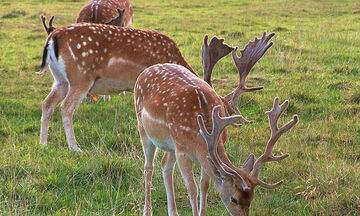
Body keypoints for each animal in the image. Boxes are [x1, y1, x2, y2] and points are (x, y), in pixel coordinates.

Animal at [38, 22, 197, 152]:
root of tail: (52, 37)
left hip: (60, 79)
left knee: (47, 103)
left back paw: (43, 144)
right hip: (81, 76)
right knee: (66, 107)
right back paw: (74, 148)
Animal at [134, 32, 300, 216]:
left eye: (251, 199)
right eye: (233, 199)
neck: (199, 135)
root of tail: (145, 71)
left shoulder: (198, 153)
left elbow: (204, 185)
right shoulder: (182, 152)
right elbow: (192, 189)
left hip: (169, 144)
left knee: (165, 165)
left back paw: (173, 212)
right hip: (143, 127)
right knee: (148, 167)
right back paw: (147, 210)